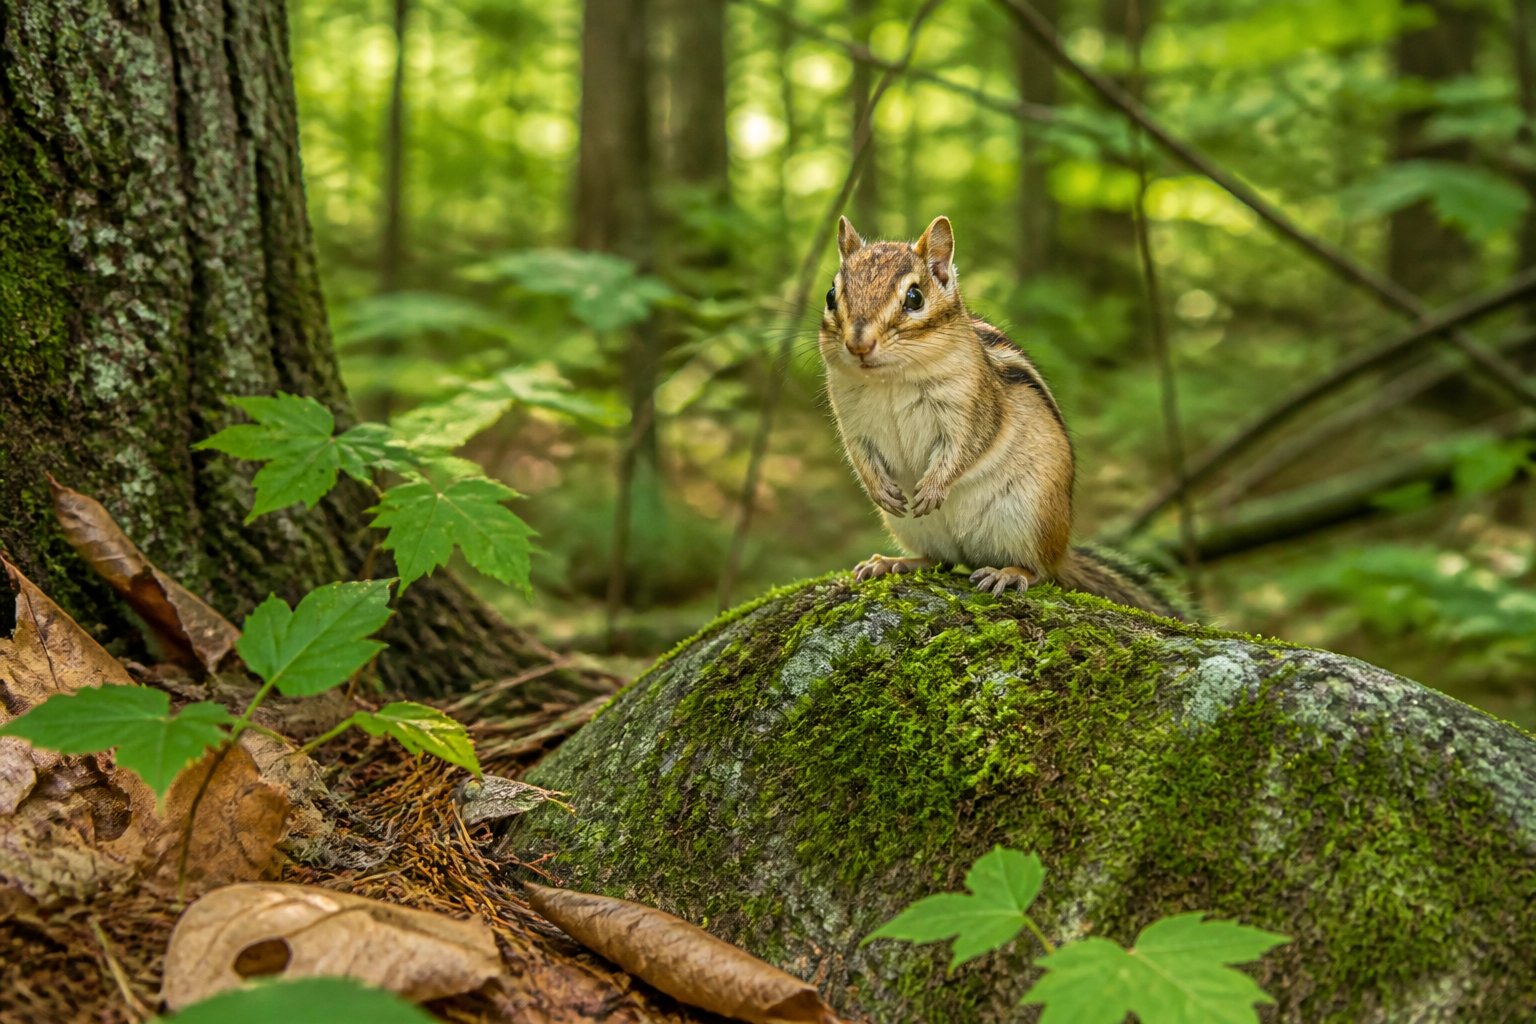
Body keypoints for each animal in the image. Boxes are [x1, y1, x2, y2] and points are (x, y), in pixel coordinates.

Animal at [819, 214, 1186, 620]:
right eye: (831, 295)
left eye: (914, 297)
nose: (859, 345)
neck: (890, 380)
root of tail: (1062, 551)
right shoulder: (853, 422)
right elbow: (859, 456)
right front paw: (880, 490)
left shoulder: (973, 409)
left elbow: (965, 448)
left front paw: (933, 488)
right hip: (913, 528)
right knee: (939, 561)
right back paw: (894, 563)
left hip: (1032, 517)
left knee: (1039, 572)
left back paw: (1009, 573)